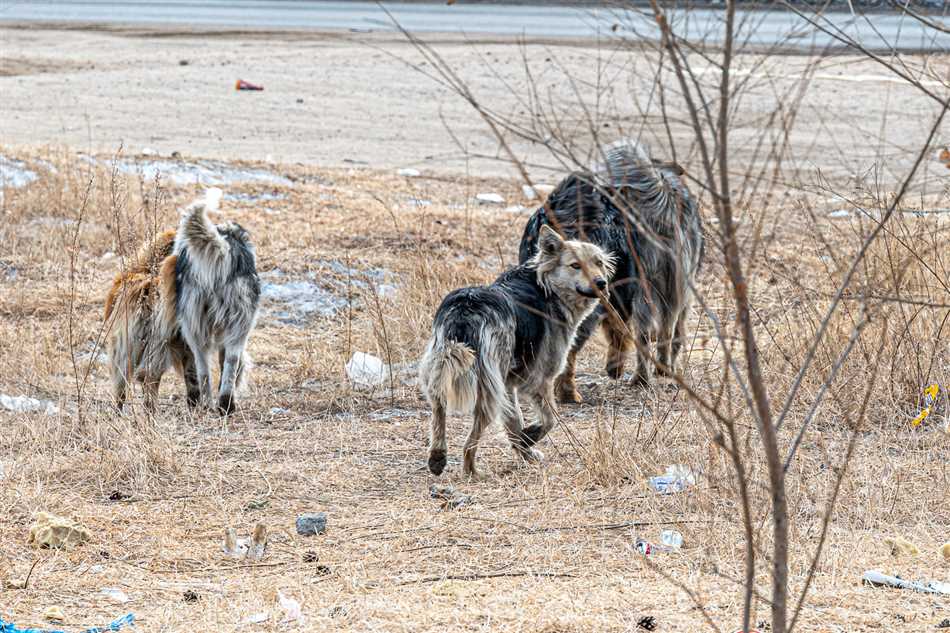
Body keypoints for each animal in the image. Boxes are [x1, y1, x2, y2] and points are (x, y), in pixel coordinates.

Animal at [171, 188, 260, 414]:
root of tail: (222, 251)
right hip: (238, 324)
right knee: (229, 362)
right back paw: (225, 403)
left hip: (195, 325)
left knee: (204, 368)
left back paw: (210, 403)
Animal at [420, 225, 612, 476]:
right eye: (575, 265)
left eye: (598, 263)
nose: (601, 283)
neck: (547, 287)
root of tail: (467, 307)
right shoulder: (540, 379)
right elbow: (550, 418)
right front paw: (530, 438)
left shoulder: (509, 383)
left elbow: (514, 422)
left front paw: (525, 450)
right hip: (488, 387)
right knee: (470, 439)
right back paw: (472, 471)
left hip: (446, 367)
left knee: (438, 408)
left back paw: (437, 456)